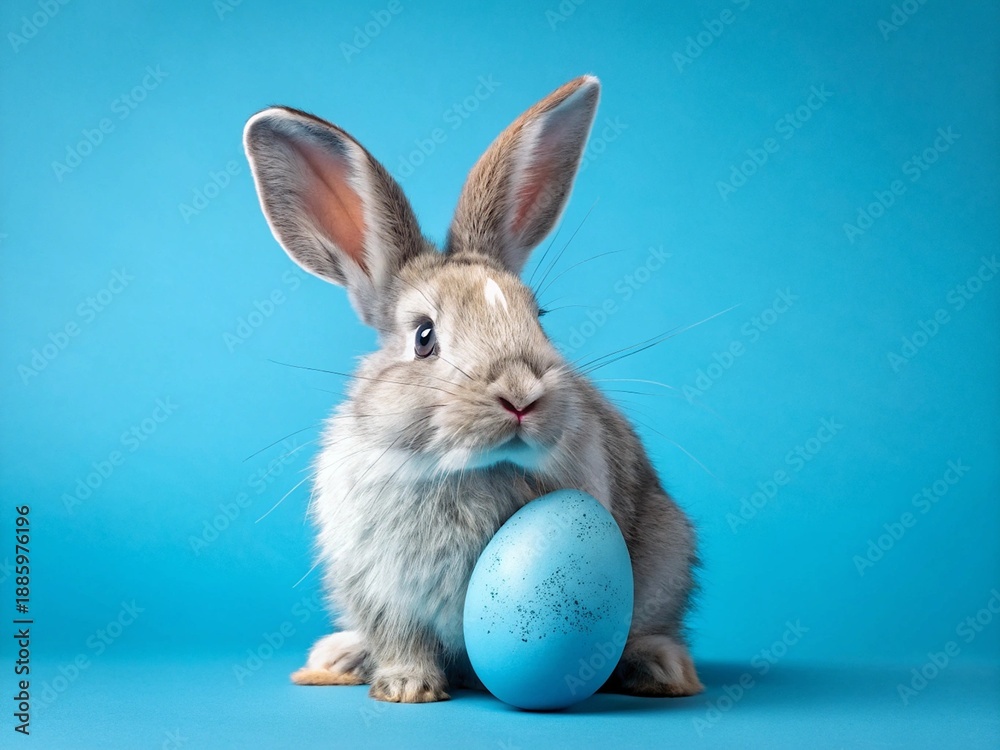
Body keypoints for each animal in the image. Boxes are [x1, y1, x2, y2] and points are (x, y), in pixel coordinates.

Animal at [243, 75, 703, 703]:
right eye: (424, 337)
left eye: (538, 315)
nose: (520, 395)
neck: (459, 470)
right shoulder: (382, 592)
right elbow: (402, 639)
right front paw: (407, 688)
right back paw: (339, 658)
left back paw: (660, 669)